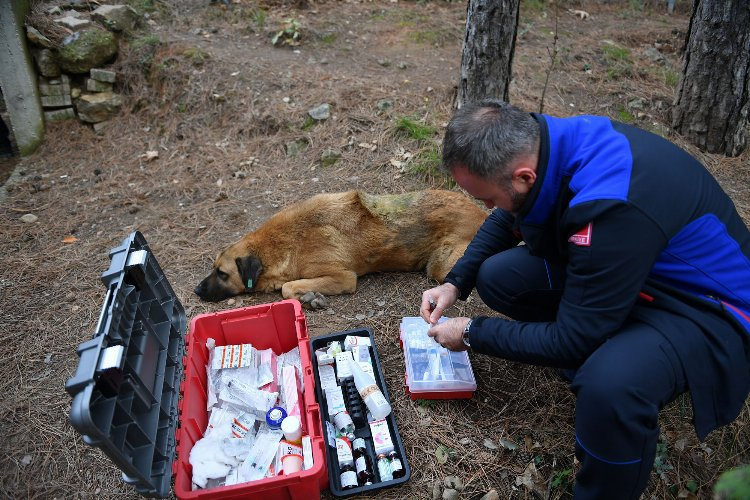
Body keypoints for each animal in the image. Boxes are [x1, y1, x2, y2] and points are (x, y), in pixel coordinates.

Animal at [194, 189, 488, 308]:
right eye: (213, 268)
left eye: (222, 273)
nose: (196, 290)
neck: (285, 244)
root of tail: (482, 213)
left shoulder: (343, 277)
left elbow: (287, 288)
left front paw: (309, 297)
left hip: (441, 265)